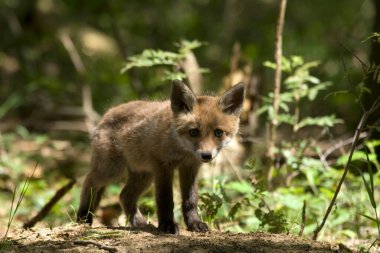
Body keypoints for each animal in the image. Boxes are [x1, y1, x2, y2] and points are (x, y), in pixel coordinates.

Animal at [77, 79, 245, 233]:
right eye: (194, 132)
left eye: (218, 133)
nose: (206, 155)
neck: (182, 150)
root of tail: (107, 113)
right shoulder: (163, 167)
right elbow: (165, 200)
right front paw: (167, 225)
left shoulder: (190, 167)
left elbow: (190, 200)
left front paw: (194, 223)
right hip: (112, 171)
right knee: (89, 182)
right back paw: (83, 218)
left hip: (144, 176)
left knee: (125, 196)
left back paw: (139, 223)